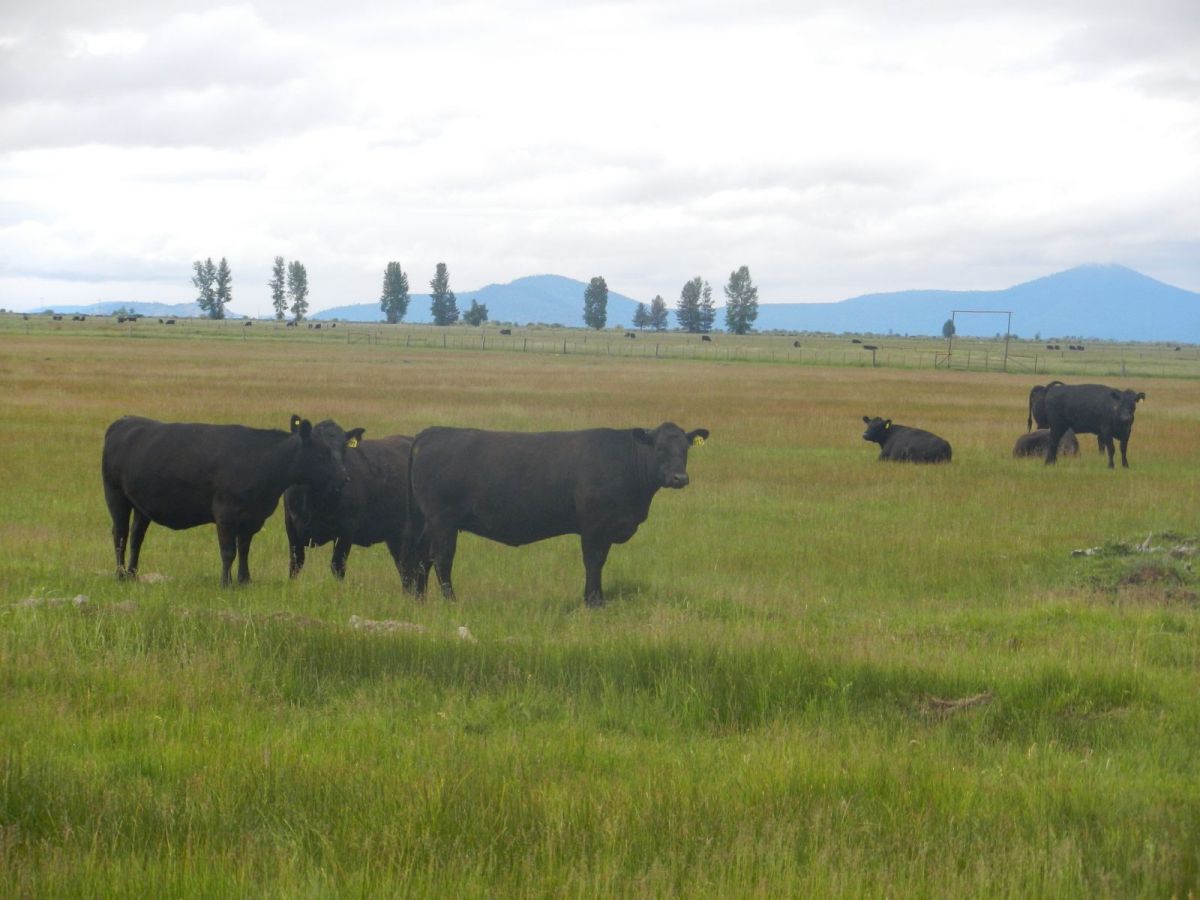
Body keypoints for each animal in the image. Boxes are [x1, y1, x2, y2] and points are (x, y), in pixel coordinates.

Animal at [102, 414, 357, 586]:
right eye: (323, 452)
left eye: (342, 450)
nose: (344, 478)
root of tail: (125, 420)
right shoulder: (225, 513)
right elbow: (228, 551)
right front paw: (226, 583)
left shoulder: (253, 517)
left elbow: (243, 548)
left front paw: (245, 580)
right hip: (115, 495)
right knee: (120, 534)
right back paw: (120, 574)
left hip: (140, 505)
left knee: (136, 537)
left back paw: (133, 574)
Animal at [283, 433, 425, 587]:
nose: (342, 478)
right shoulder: (291, 528)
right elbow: (295, 563)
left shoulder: (345, 531)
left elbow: (337, 566)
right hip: (395, 536)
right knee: (405, 567)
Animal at [406, 422, 710, 607]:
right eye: (659, 448)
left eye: (685, 449)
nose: (679, 478)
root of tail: (430, 433)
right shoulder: (594, 527)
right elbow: (593, 563)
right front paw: (594, 602)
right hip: (443, 521)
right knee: (442, 558)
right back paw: (451, 600)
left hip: (429, 523)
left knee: (420, 556)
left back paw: (418, 599)